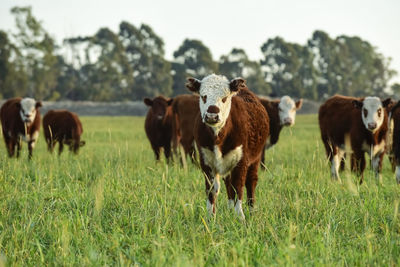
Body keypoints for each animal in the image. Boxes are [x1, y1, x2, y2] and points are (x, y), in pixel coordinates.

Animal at [187, 74, 268, 221]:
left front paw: (240, 217)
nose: (212, 115)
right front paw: (210, 217)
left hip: (255, 159)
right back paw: (230, 210)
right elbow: (212, 189)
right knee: (228, 184)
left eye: (224, 98)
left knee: (251, 183)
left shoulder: (241, 161)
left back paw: (252, 211)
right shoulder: (206, 162)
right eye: (203, 96)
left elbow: (238, 187)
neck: (218, 137)